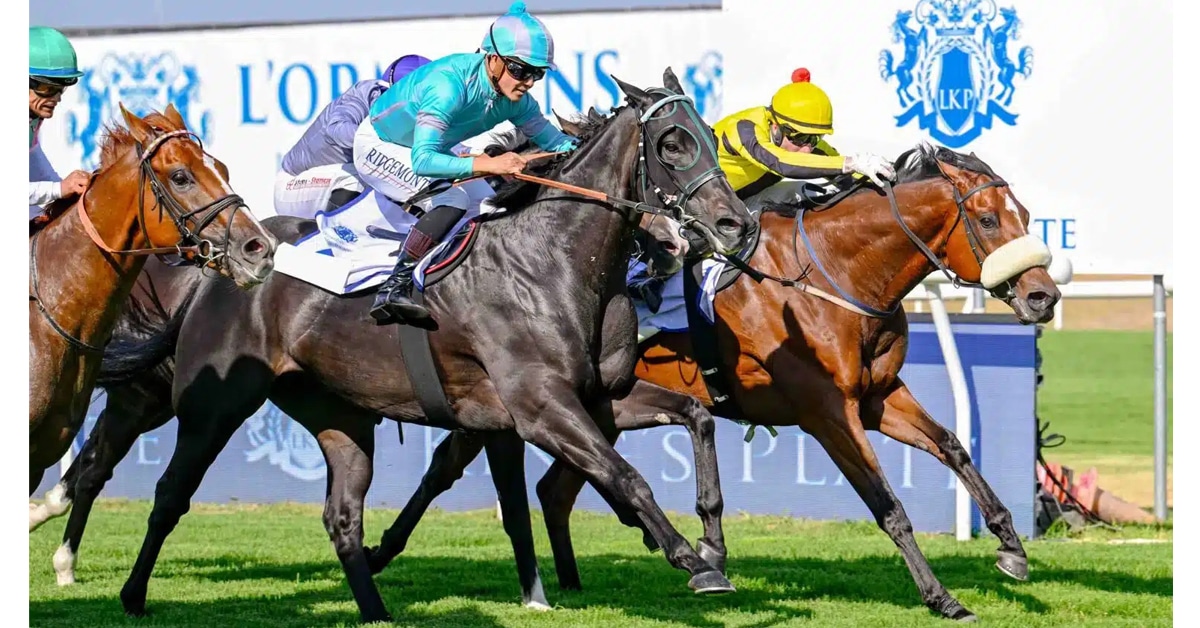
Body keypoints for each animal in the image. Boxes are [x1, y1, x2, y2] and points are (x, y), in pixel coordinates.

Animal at [325, 144, 1063, 622]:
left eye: (1028, 217)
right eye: (989, 219)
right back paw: (387, 552)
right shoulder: (827, 412)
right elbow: (888, 505)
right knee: (454, 467)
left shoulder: (879, 399)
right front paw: (942, 596)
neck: (833, 276)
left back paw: (575, 577)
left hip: (592, 407)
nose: (1043, 297)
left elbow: (955, 447)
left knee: (548, 485)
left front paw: (1010, 548)